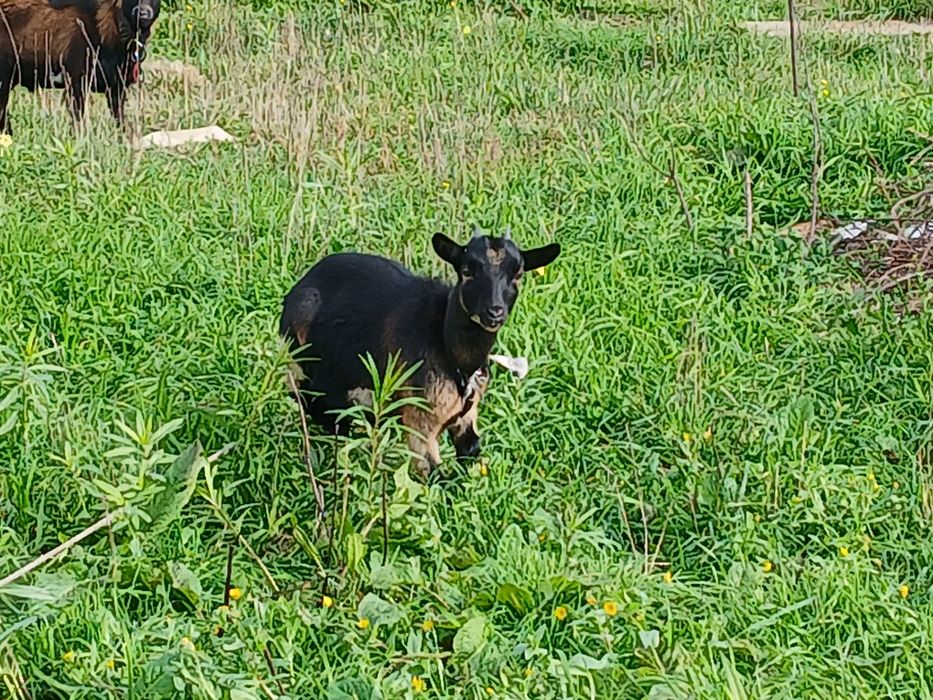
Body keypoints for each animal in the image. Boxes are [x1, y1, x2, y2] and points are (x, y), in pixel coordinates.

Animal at [279, 231, 561, 477]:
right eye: (466, 272)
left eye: (518, 274)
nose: (494, 312)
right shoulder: (419, 420)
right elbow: (434, 474)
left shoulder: (467, 415)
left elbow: (470, 453)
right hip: (299, 367)